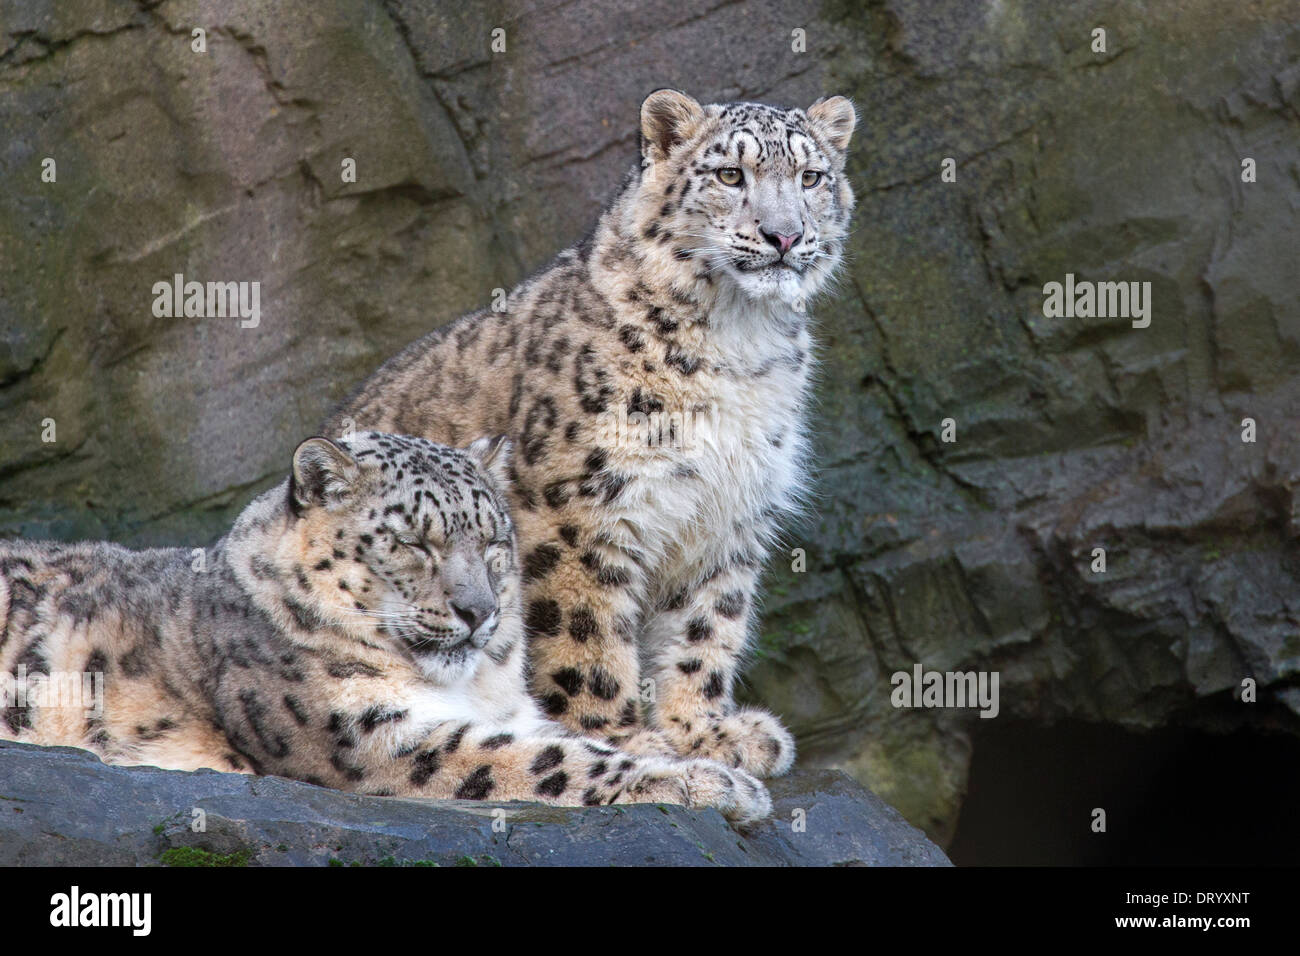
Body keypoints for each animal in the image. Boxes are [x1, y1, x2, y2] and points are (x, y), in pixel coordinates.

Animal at [0, 431, 770, 824]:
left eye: (494, 540)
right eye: (414, 543)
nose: (478, 611)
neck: (473, 688)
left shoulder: (514, 711)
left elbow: (575, 741)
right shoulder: (372, 736)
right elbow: (549, 760)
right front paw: (717, 786)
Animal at [325, 90, 857, 777]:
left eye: (811, 177)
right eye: (729, 175)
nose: (784, 234)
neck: (741, 338)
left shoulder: (729, 512)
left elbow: (706, 626)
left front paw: (709, 732)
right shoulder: (578, 506)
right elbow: (587, 629)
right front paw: (622, 738)